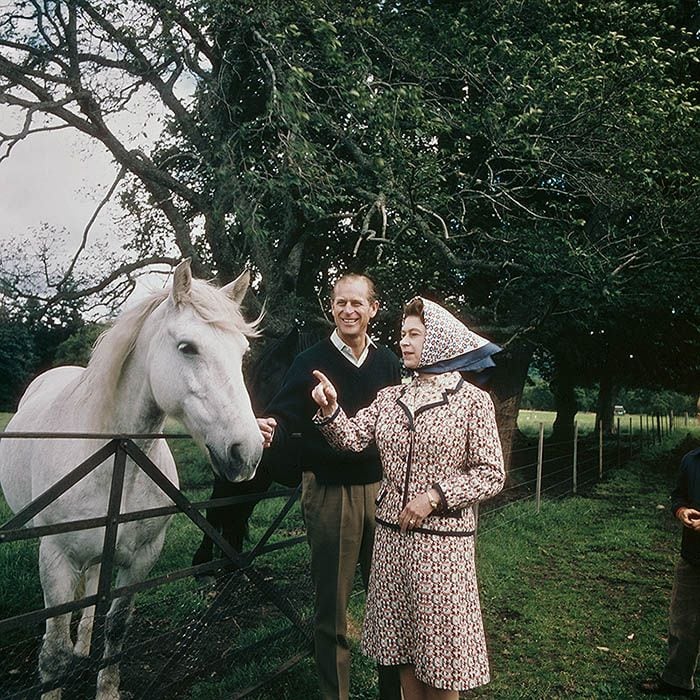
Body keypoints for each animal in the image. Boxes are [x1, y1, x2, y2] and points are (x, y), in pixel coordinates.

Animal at [0, 262, 262, 700]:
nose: (248, 452)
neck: (116, 458)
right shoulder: (56, 558)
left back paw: (84, 647)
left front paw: (106, 687)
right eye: (188, 347)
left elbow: (118, 629)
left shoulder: (141, 559)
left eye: (242, 353)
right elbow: (53, 651)